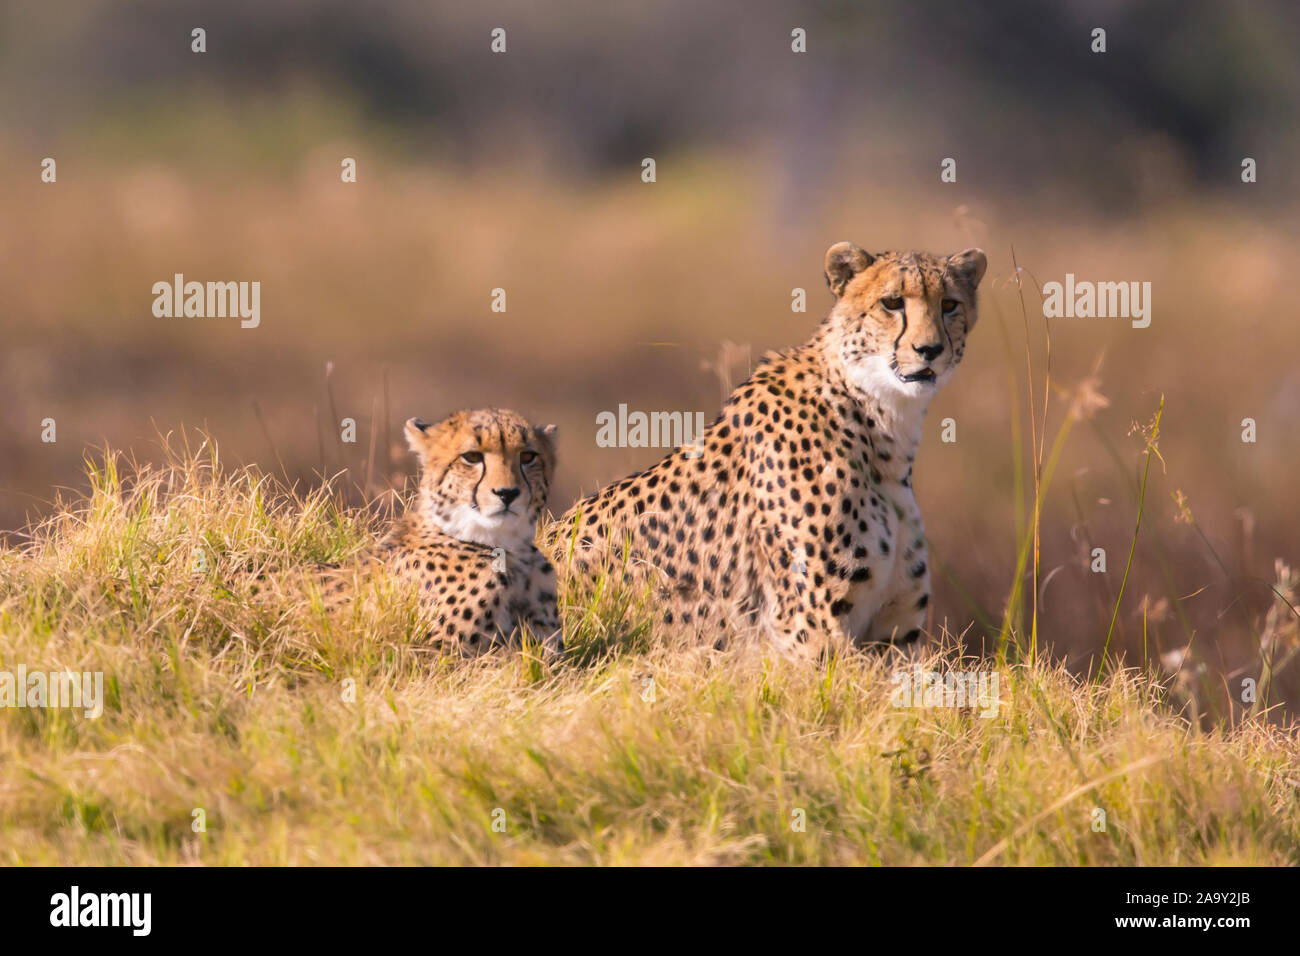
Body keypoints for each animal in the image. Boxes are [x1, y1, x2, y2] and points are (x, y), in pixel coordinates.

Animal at [553, 243, 987, 658]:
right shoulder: (812, 630)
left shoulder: (895, 635)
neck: (883, 422)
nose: (929, 349)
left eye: (949, 304)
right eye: (892, 302)